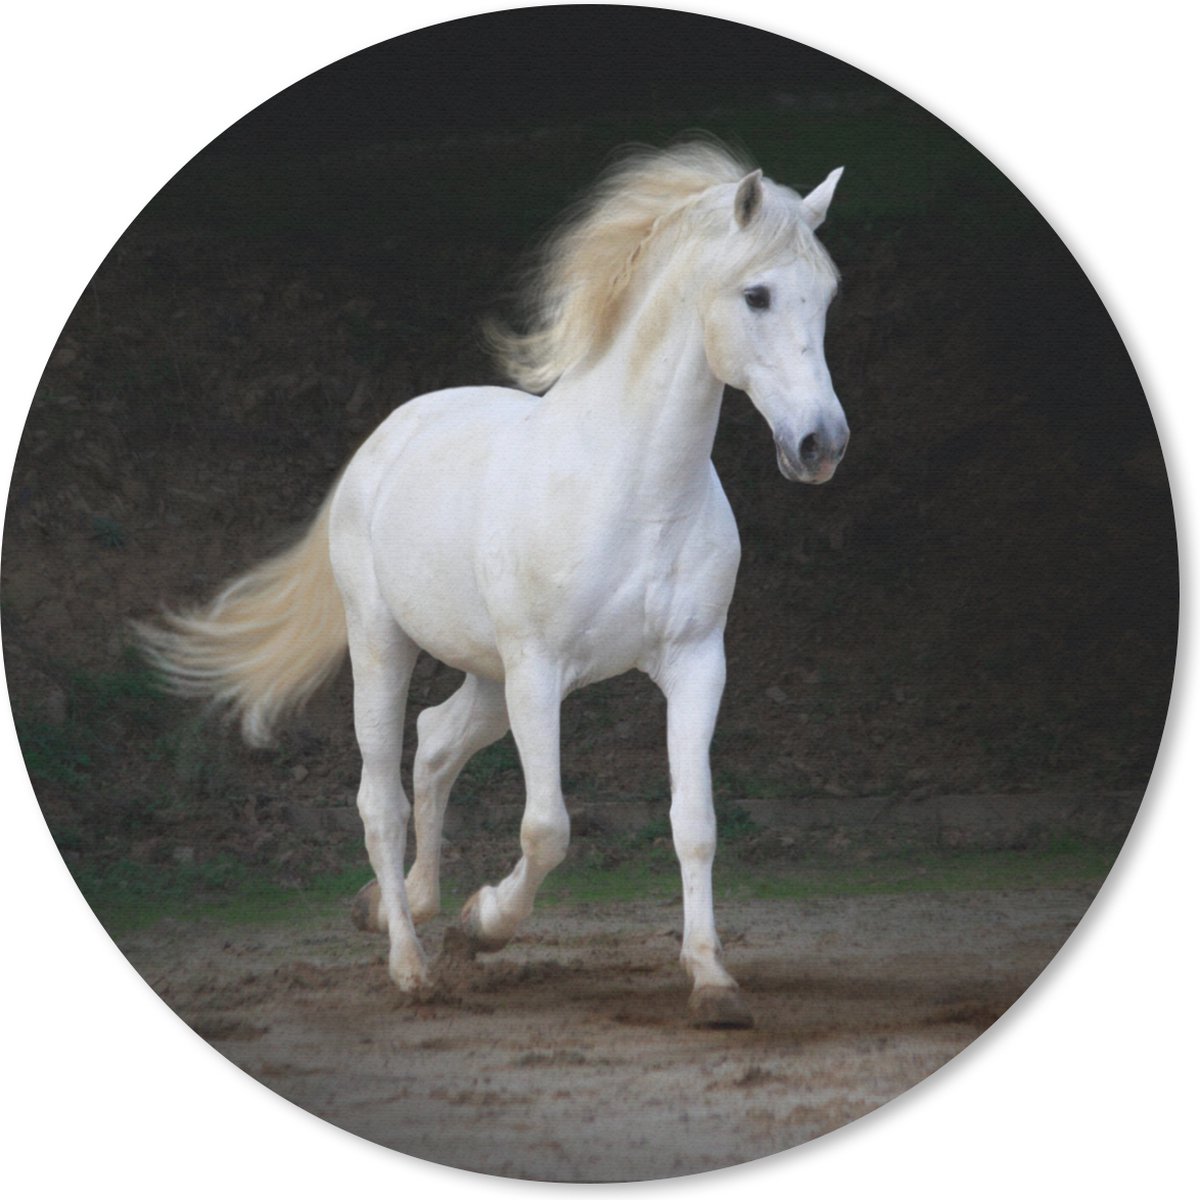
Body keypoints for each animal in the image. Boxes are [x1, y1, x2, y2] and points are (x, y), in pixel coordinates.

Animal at [137, 141, 848, 1029]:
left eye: (827, 295)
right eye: (757, 294)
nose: (821, 445)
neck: (634, 489)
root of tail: (389, 435)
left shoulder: (694, 664)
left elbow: (696, 822)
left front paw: (713, 982)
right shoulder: (538, 671)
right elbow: (547, 827)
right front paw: (485, 926)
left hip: (486, 675)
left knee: (436, 743)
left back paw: (405, 906)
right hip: (387, 645)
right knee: (381, 796)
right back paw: (411, 963)